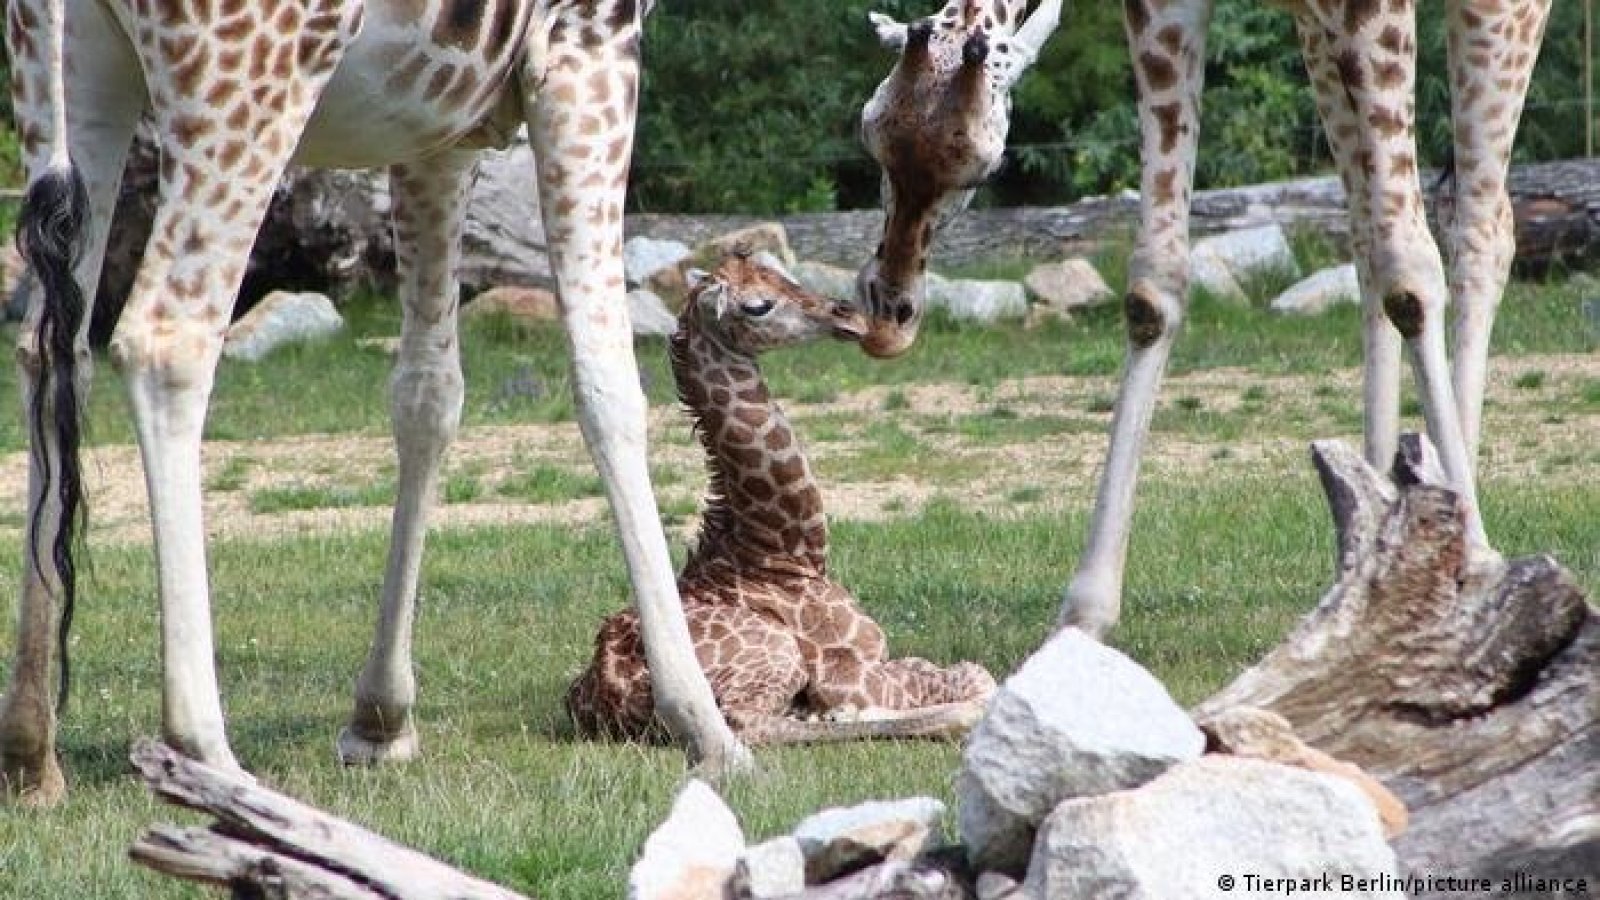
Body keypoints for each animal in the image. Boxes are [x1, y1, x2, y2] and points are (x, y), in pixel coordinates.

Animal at [569, 253, 992, 743]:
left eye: (781, 274)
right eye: (758, 305)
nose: (848, 314)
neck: (783, 553)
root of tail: (608, 695)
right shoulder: (848, 672)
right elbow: (977, 675)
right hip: (776, 654)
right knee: (748, 724)